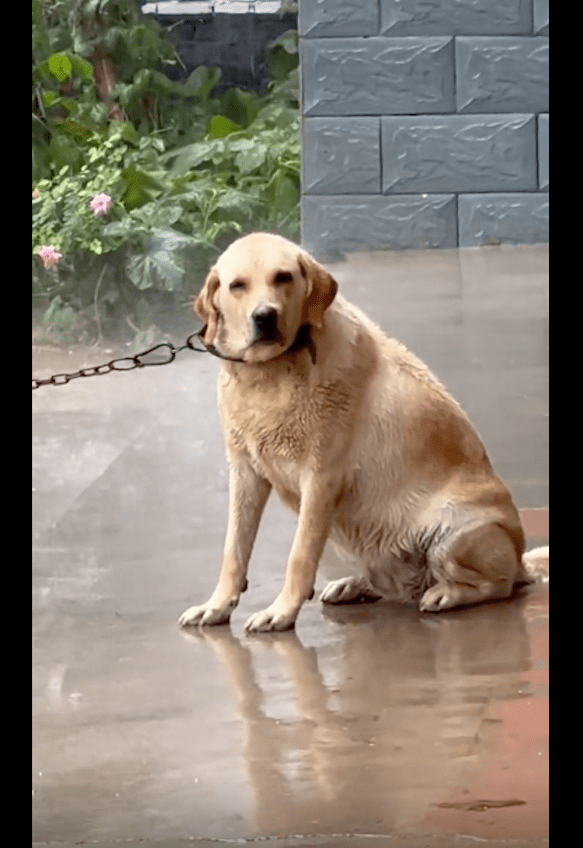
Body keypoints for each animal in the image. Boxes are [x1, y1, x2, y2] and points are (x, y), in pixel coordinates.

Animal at [180, 232, 548, 628]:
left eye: (283, 277)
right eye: (237, 286)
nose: (265, 317)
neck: (270, 374)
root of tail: (520, 559)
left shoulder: (321, 478)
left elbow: (300, 555)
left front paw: (281, 611)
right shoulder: (245, 473)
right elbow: (234, 550)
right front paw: (217, 605)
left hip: (453, 533)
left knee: (498, 584)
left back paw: (445, 594)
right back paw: (355, 585)